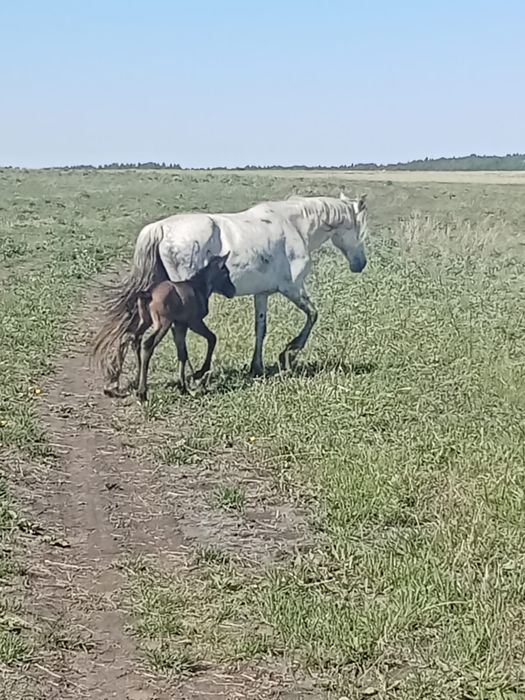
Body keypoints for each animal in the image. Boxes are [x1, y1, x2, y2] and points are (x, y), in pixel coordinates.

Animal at [133, 253, 234, 402]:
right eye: (226, 273)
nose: (233, 290)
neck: (200, 287)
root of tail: (149, 294)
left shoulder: (179, 325)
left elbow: (182, 353)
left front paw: (183, 387)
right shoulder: (193, 322)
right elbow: (212, 338)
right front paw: (199, 372)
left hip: (146, 321)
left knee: (136, 339)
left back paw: (136, 382)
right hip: (163, 323)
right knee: (147, 344)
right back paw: (142, 392)